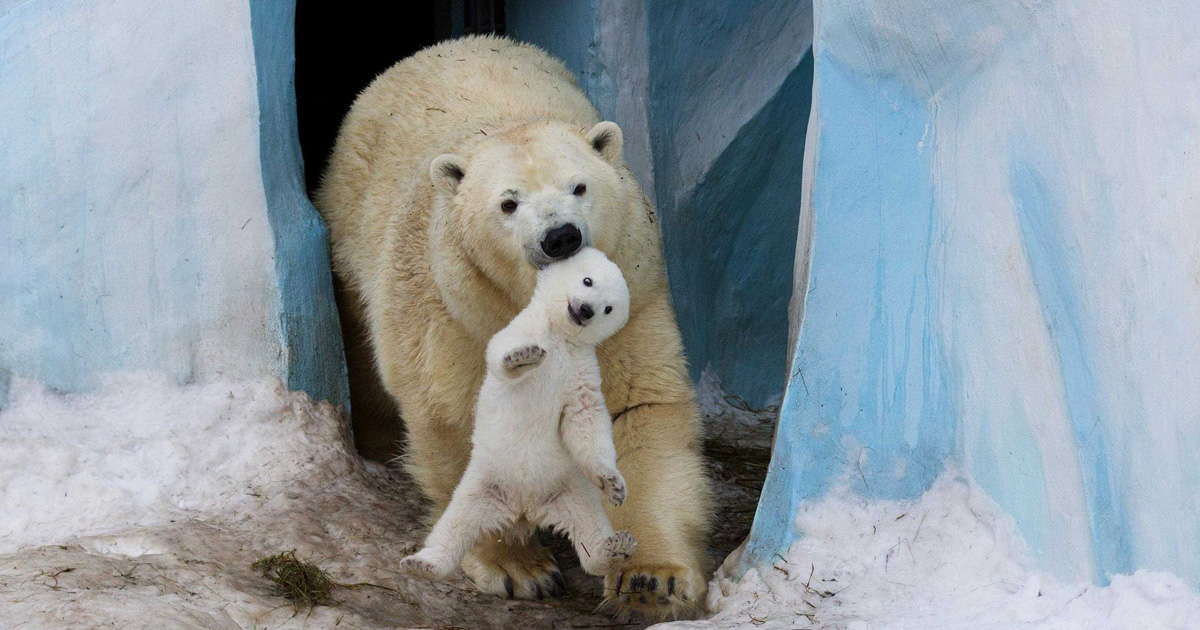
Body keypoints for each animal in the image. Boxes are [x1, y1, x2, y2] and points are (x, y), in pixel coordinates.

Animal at [400, 248, 638, 583]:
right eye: (587, 280)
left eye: (608, 308)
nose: (585, 310)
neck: (560, 337)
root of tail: (525, 508)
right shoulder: (522, 327)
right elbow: (500, 352)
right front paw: (523, 357)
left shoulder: (580, 371)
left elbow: (585, 419)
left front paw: (614, 485)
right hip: (483, 484)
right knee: (454, 524)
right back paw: (424, 564)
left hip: (569, 491)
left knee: (589, 528)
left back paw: (616, 548)